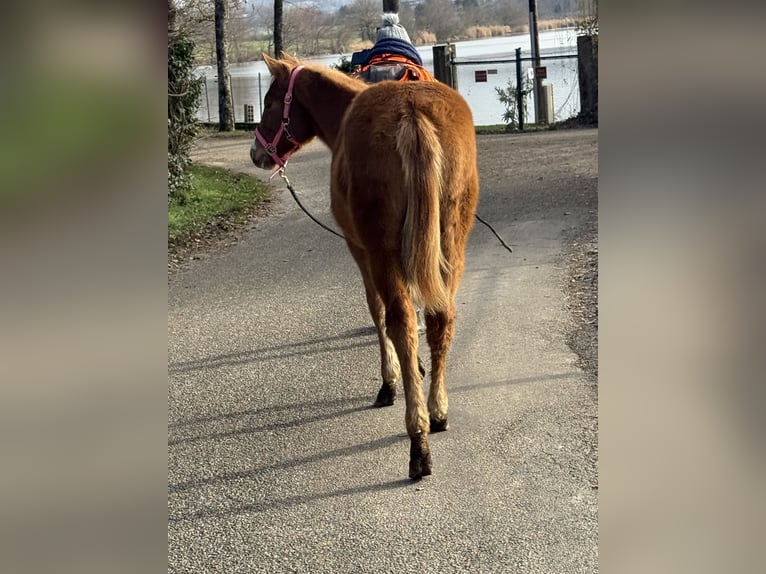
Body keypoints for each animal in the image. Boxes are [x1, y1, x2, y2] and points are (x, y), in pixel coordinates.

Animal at [250, 53, 479, 479]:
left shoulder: (360, 251)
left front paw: (393, 380)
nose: (256, 153)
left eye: (271, 103)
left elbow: (379, 314)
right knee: (441, 317)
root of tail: (411, 112)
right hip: (451, 245)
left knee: (399, 318)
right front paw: (416, 370)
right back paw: (437, 413)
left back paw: (418, 441)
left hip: (382, 251)